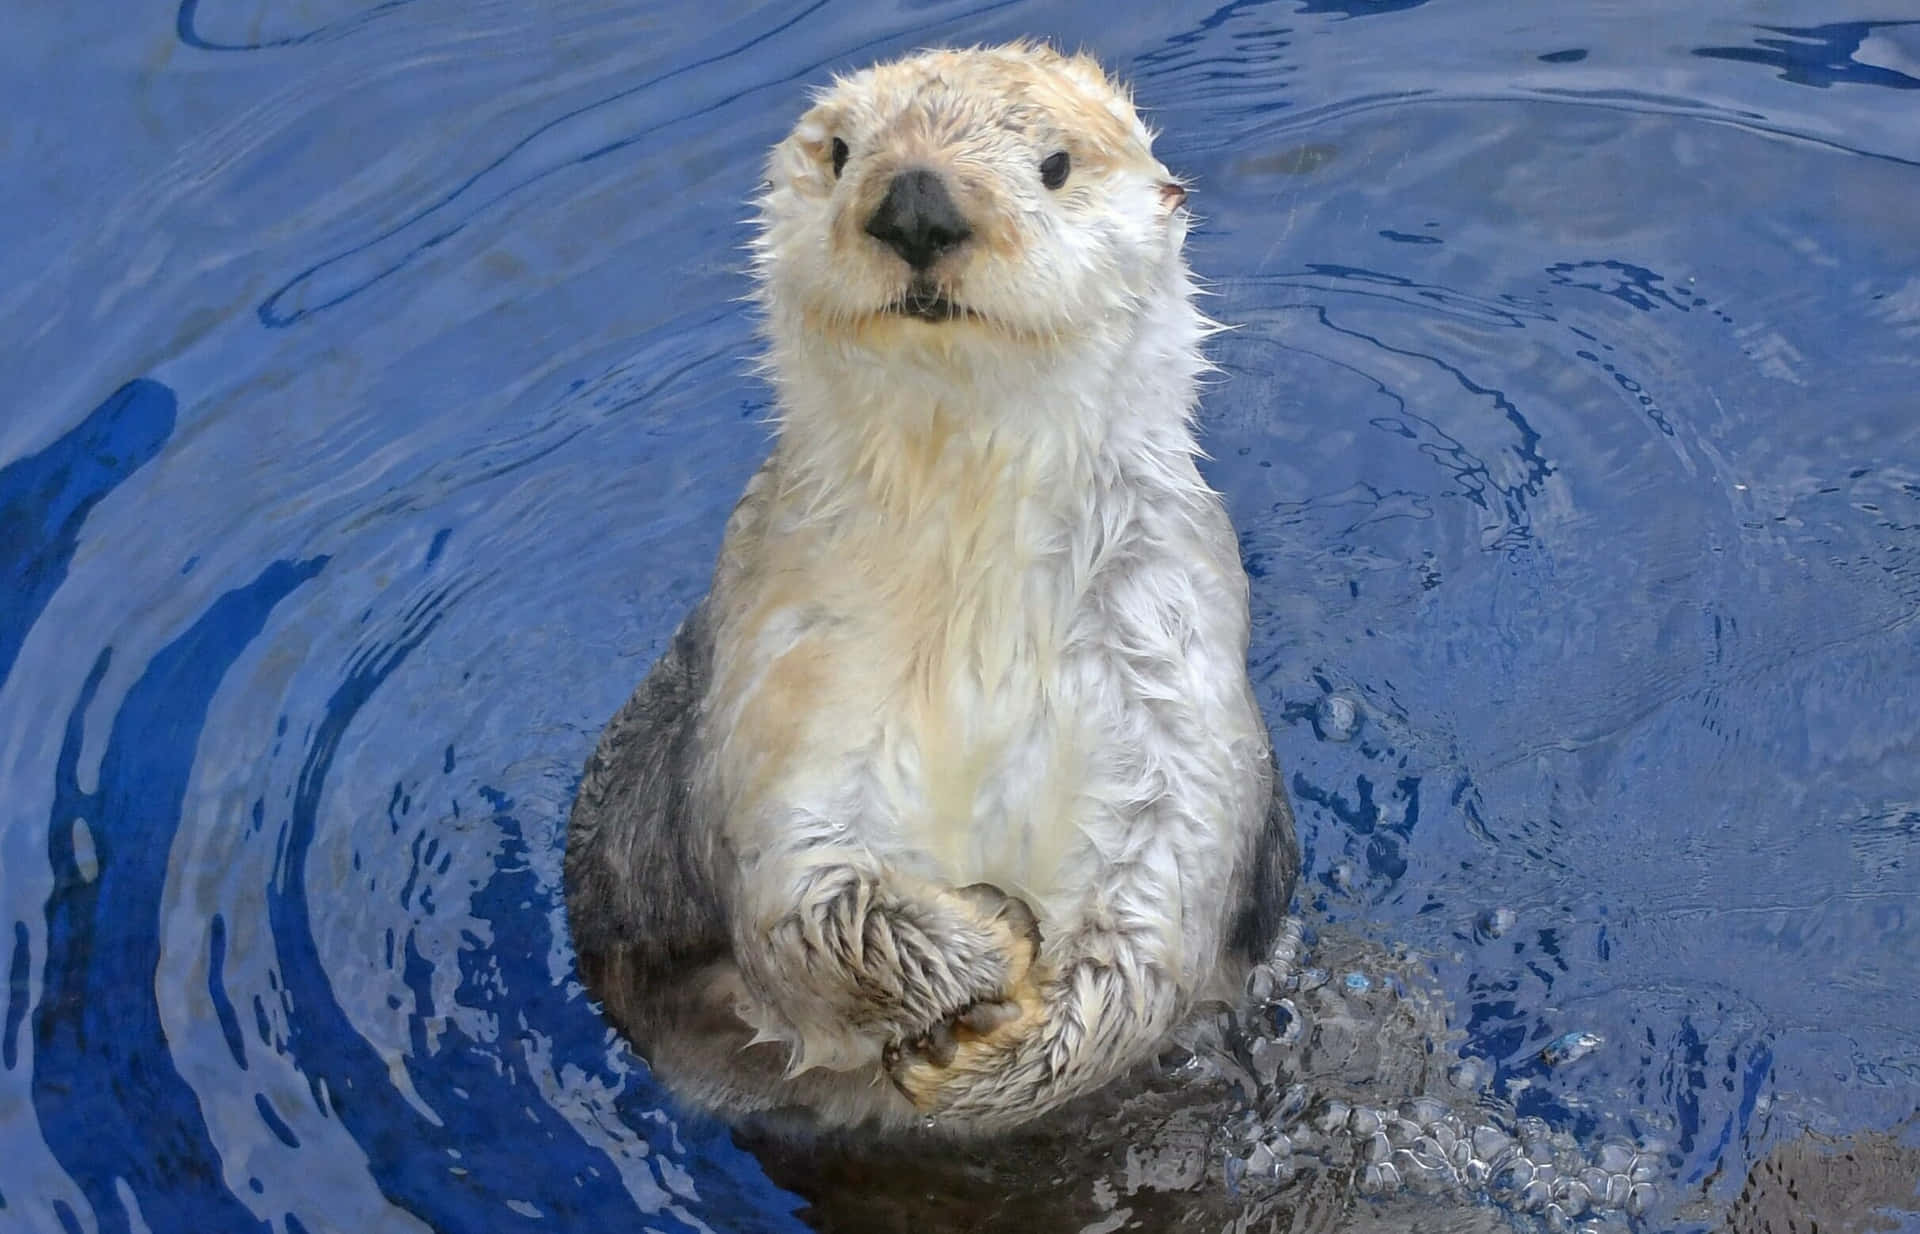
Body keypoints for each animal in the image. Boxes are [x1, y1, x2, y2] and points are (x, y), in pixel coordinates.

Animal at [560, 43, 1297, 1136]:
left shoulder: (1174, 651)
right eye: (840, 151)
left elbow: (1153, 910)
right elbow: (801, 890)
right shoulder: (782, 651)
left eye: (1055, 165)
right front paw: (986, 943)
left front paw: (1000, 1051)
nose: (915, 200)